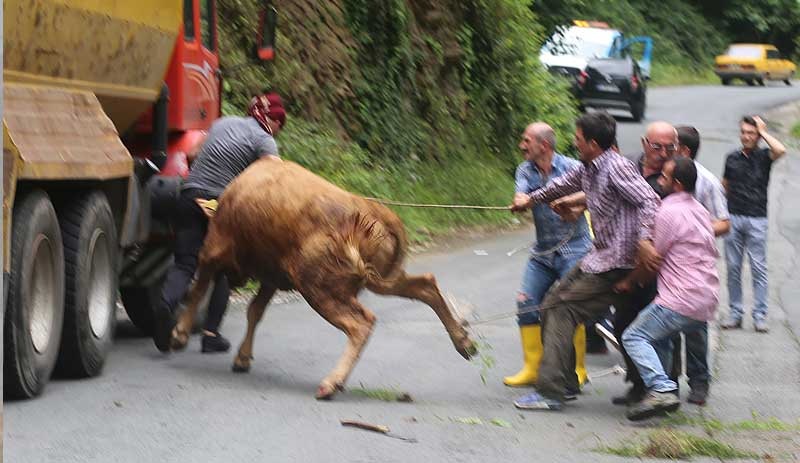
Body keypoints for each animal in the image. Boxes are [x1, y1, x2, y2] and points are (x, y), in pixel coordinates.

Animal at [170, 156, 476, 398]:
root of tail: (374, 210)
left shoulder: (211, 251)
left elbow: (197, 290)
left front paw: (179, 335)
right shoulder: (271, 277)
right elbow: (254, 311)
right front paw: (243, 358)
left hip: (319, 287)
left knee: (361, 323)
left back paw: (331, 383)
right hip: (381, 280)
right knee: (425, 285)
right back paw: (465, 343)